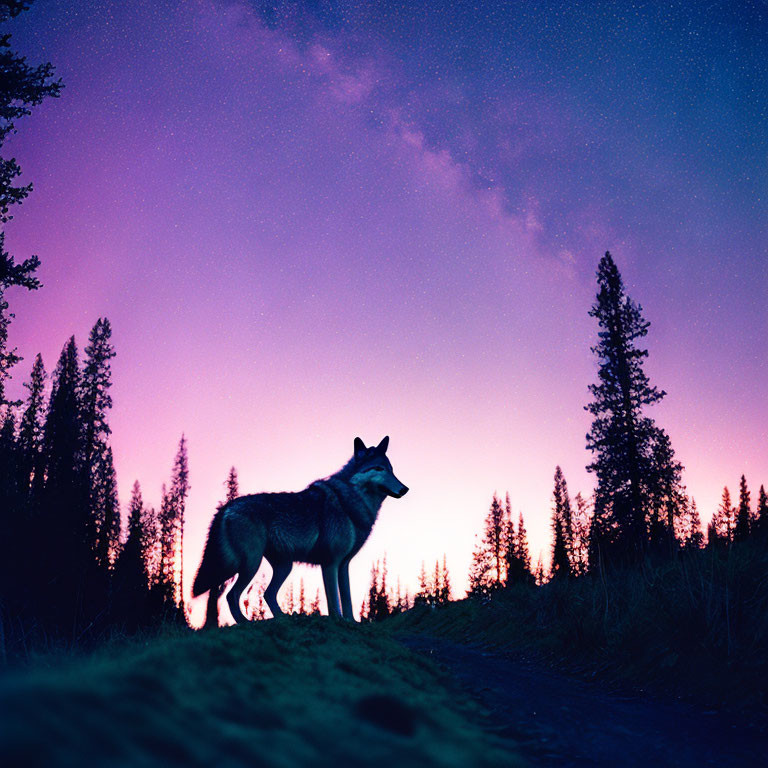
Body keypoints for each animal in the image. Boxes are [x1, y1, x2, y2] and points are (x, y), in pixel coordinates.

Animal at [192, 438, 408, 624]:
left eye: (391, 470)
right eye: (379, 468)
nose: (404, 489)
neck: (351, 502)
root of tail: (226, 507)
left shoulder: (343, 564)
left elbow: (346, 599)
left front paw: (351, 622)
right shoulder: (330, 563)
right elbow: (333, 601)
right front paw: (338, 620)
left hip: (283, 566)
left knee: (267, 594)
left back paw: (283, 618)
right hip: (251, 564)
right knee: (232, 595)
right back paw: (246, 623)